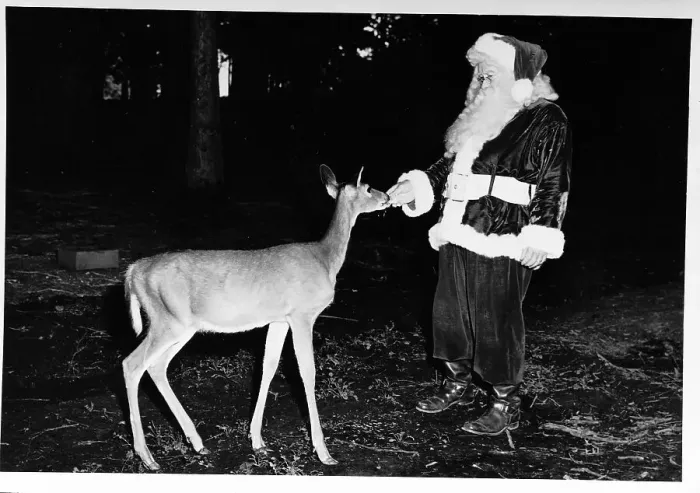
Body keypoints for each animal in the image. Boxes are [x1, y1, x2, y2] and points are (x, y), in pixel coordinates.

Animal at [122, 164, 390, 471]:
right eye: (368, 187)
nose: (387, 197)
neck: (325, 258)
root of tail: (133, 272)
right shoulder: (302, 314)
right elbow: (307, 372)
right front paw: (323, 451)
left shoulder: (279, 319)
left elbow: (267, 367)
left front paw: (257, 440)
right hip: (166, 321)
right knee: (132, 364)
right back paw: (147, 456)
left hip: (179, 325)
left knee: (156, 367)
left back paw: (197, 443)